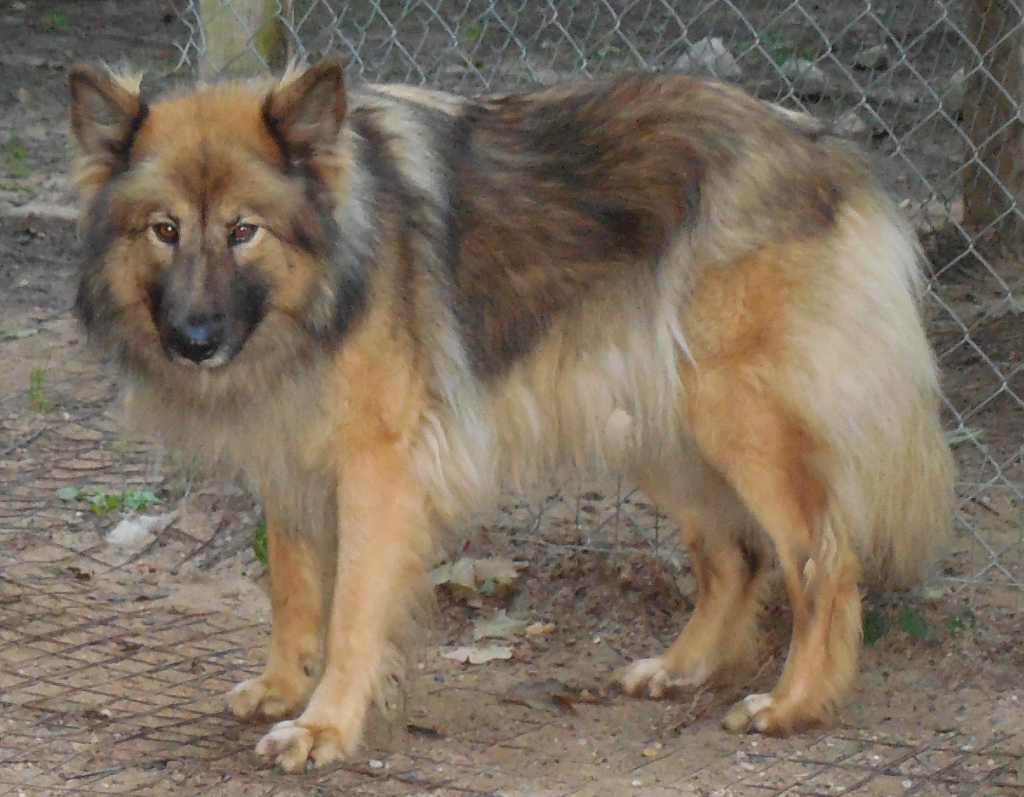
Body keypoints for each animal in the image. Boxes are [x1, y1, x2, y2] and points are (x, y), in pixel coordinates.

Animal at [68, 58, 954, 766]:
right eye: (164, 230)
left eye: (243, 231)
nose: (192, 341)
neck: (332, 270)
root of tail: (821, 144)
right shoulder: (290, 453)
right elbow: (292, 584)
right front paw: (285, 684)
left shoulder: (377, 468)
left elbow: (351, 609)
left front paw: (326, 723)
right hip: (656, 429)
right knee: (735, 554)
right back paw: (680, 667)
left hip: (739, 422)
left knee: (823, 560)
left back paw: (796, 703)